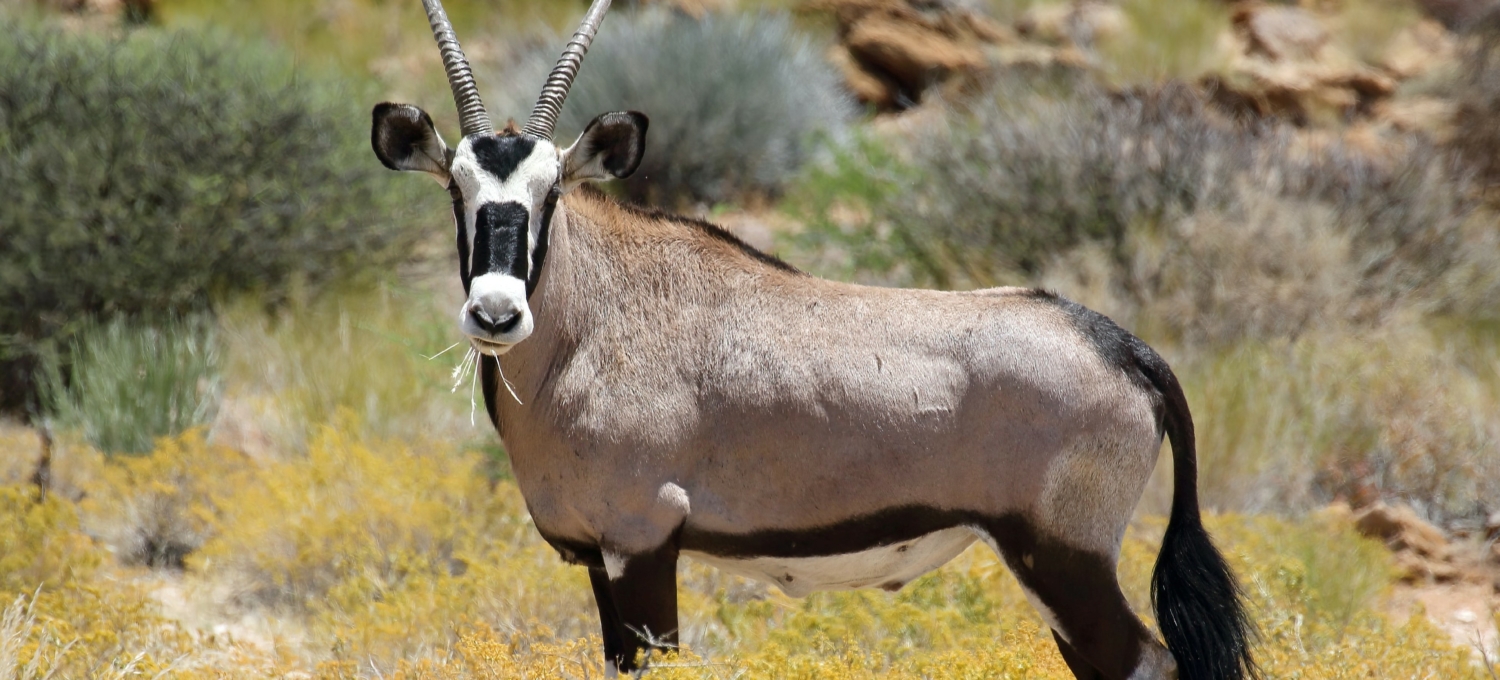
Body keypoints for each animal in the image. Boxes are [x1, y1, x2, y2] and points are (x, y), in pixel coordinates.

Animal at [372, 2, 1254, 675]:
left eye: (552, 190)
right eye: (456, 189)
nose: (496, 314)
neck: (591, 323)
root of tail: (1121, 344)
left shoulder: (643, 543)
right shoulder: (600, 559)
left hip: (1065, 560)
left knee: (1149, 660)